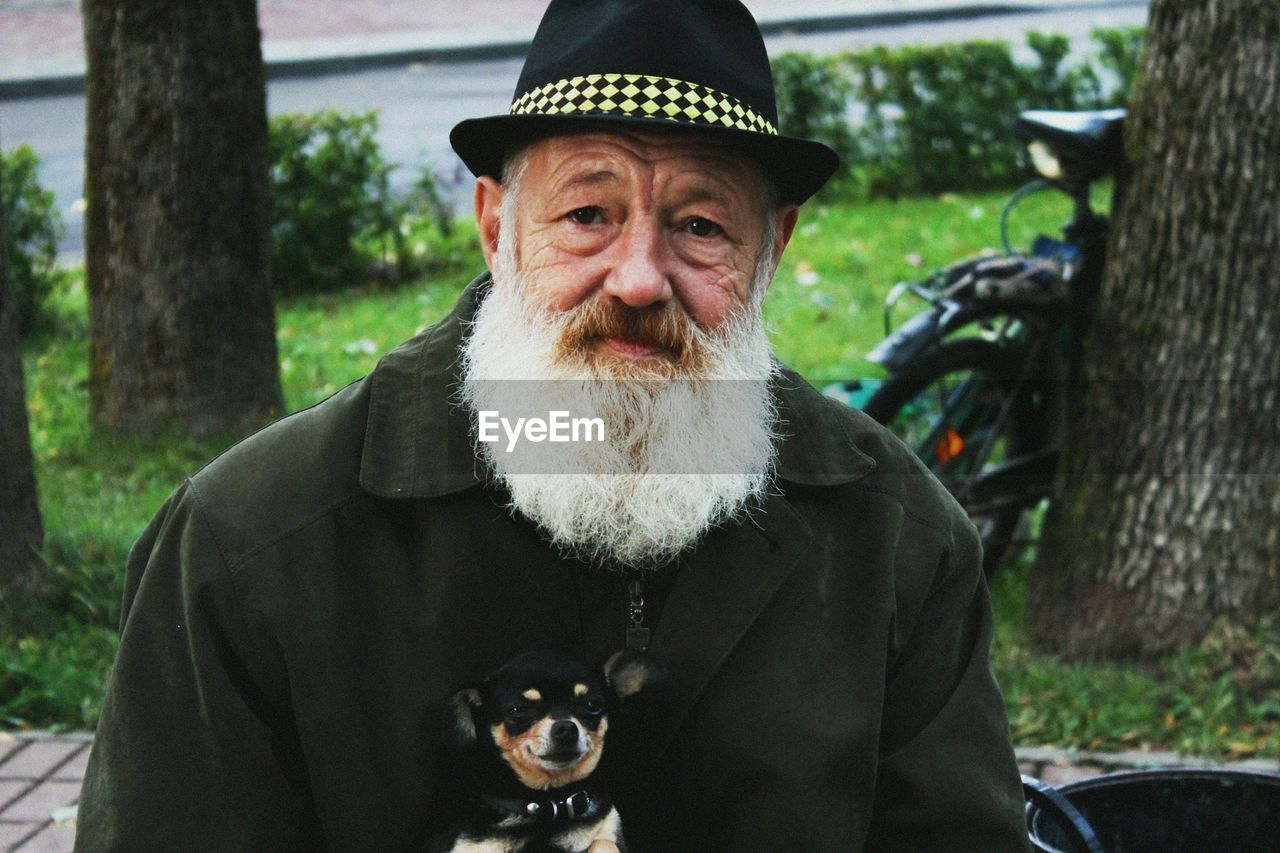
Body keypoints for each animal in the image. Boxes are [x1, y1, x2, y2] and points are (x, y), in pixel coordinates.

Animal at [432, 648, 670, 845]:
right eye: (517, 710)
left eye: (592, 705)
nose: (566, 729)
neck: (550, 801)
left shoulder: (607, 833)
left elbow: (602, 843)